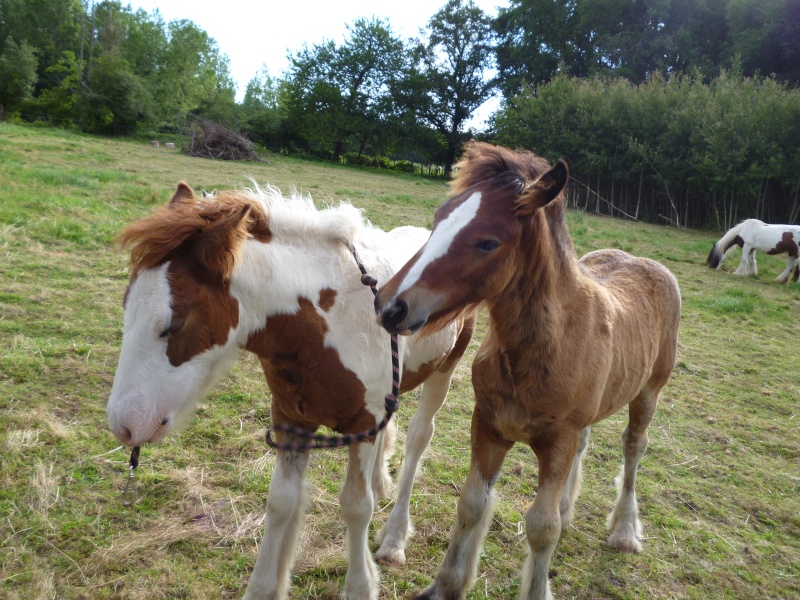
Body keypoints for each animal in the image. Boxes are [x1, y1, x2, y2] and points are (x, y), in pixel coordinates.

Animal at [103, 183, 472, 600]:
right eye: (125, 308)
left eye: (172, 325)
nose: (124, 427)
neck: (328, 325)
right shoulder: (291, 419)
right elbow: (281, 501)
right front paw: (263, 588)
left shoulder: (363, 421)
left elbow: (356, 505)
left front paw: (361, 585)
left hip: (445, 368)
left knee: (419, 437)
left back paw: (394, 538)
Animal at [376, 142, 680, 600]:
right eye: (439, 219)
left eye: (488, 242)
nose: (389, 305)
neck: (535, 353)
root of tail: (646, 261)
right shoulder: (488, 427)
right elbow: (471, 504)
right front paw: (444, 585)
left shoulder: (557, 442)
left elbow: (541, 527)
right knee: (588, 444)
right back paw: (570, 509)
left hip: (649, 392)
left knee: (633, 447)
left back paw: (625, 530)